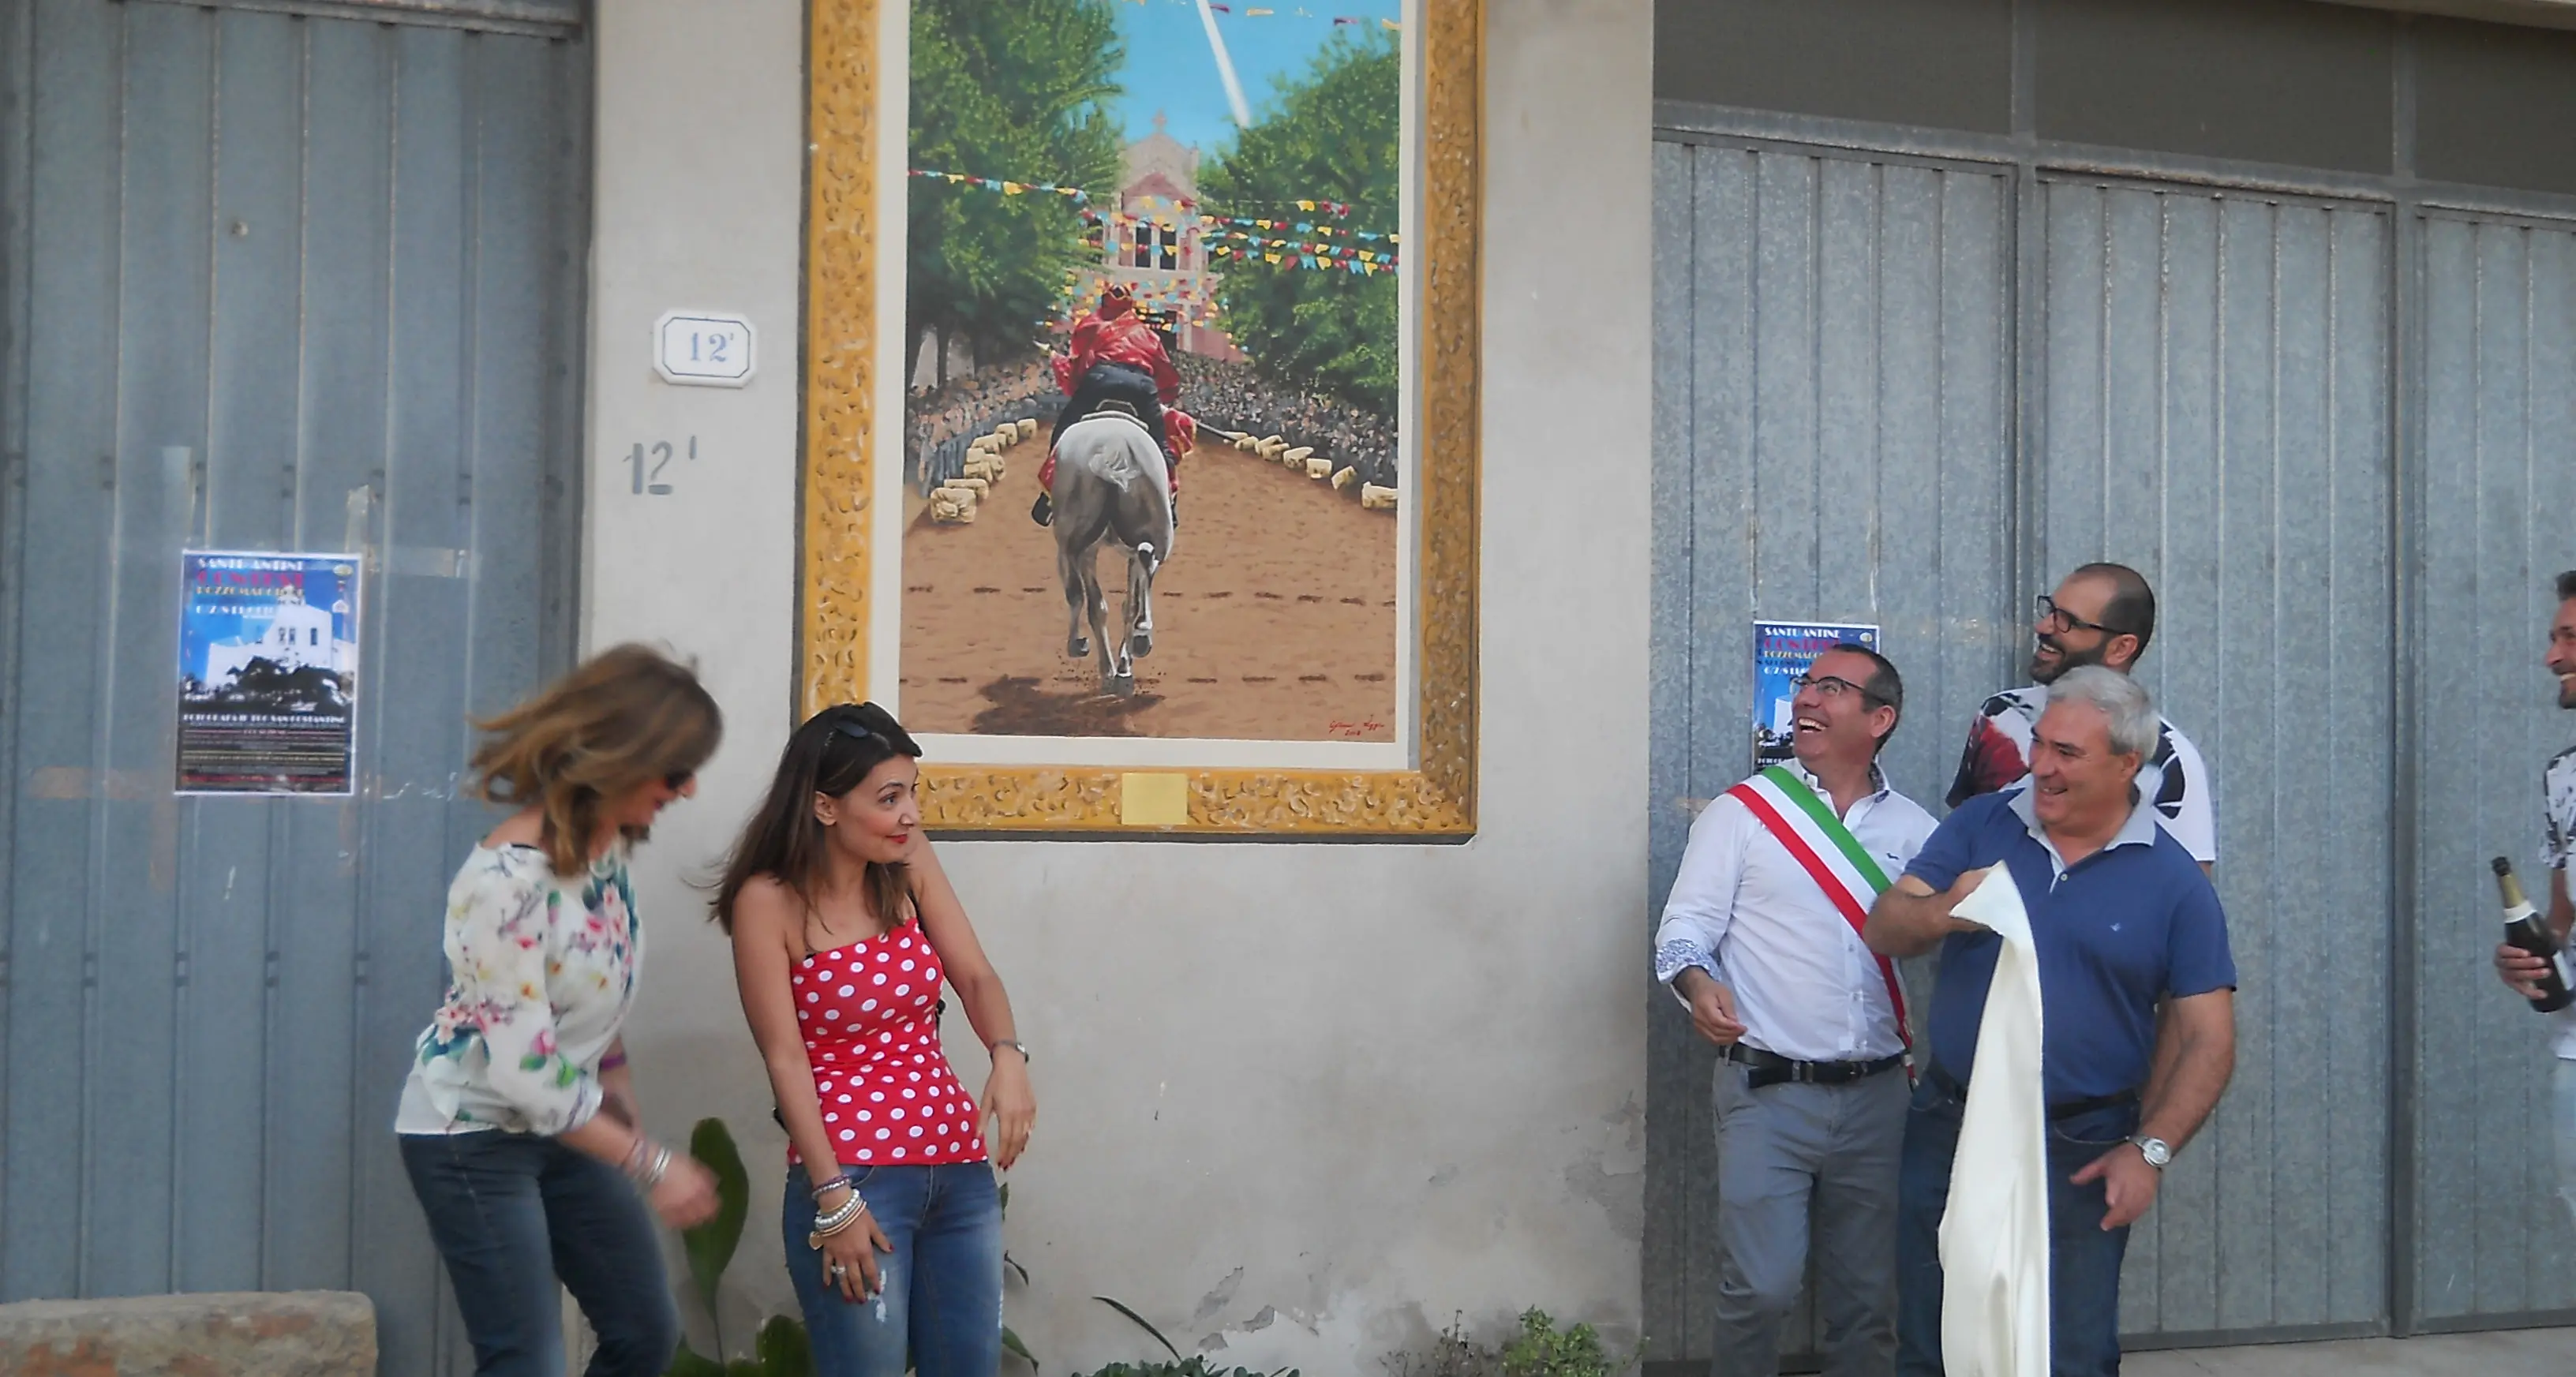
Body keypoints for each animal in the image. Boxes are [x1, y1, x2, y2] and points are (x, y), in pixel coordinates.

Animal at [1050, 404, 1174, 694]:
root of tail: (1114, 447)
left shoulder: (1083, 552)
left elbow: (1091, 602)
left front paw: (1107, 664)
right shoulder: (1117, 553)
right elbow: (1125, 604)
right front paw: (1122, 667)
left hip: (1074, 542)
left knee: (1083, 595)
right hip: (1157, 533)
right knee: (1147, 558)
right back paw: (1141, 635)